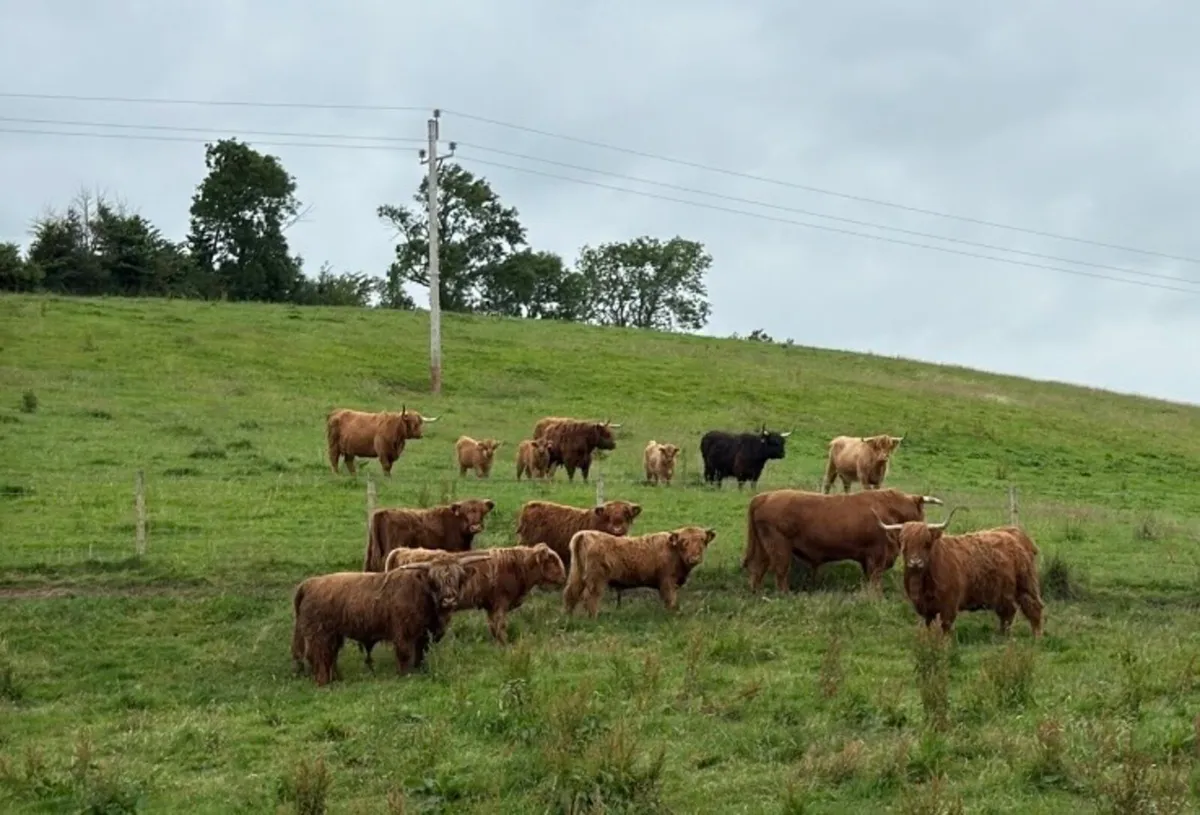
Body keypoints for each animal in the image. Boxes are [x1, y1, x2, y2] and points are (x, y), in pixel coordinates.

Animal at [290, 556, 488, 686]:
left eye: (458, 578)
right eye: (434, 580)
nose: (449, 600)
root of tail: (309, 583)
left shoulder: (424, 635)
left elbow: (421, 653)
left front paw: (420, 670)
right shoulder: (403, 632)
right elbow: (404, 654)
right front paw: (405, 674)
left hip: (333, 635)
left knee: (330, 655)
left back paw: (336, 678)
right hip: (319, 634)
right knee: (318, 656)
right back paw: (324, 682)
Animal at [384, 544, 567, 644]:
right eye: (553, 561)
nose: (564, 577)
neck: (516, 566)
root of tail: (402, 551)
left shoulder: (491, 606)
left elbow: (494, 627)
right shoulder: (500, 603)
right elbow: (500, 626)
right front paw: (505, 645)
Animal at [562, 526, 717, 617]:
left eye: (702, 540)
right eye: (684, 541)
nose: (694, 558)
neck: (673, 551)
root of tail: (585, 534)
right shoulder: (667, 581)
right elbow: (670, 599)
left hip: (577, 573)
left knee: (571, 592)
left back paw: (569, 616)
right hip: (596, 579)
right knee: (590, 597)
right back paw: (593, 617)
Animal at [743, 488, 944, 593]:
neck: (889, 511)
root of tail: (763, 496)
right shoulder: (877, 555)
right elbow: (875, 578)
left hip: (763, 548)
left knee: (757, 569)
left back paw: (757, 593)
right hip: (779, 547)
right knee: (780, 572)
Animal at [876, 509, 1045, 638]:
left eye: (926, 543)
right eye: (904, 543)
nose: (915, 562)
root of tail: (1014, 533)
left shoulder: (949, 604)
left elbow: (945, 626)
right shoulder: (925, 607)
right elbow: (929, 625)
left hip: (1026, 584)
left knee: (1034, 608)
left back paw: (1037, 637)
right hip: (1004, 593)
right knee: (1008, 613)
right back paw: (1003, 636)